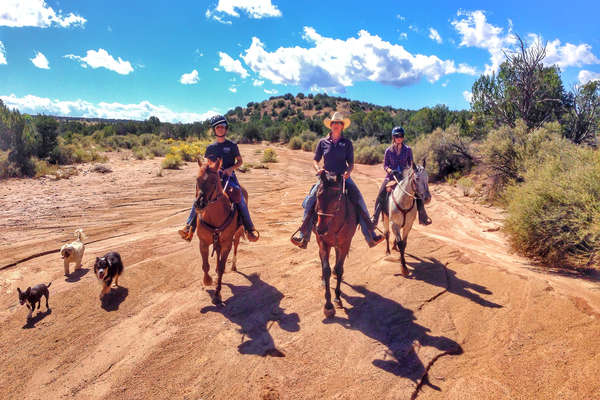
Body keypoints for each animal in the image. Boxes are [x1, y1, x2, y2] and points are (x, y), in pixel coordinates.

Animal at [196, 158, 245, 304]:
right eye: (197, 179)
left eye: (213, 181)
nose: (199, 204)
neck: (214, 216)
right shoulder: (203, 242)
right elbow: (205, 265)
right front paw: (207, 280)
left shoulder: (227, 244)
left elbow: (223, 268)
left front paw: (217, 295)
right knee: (217, 252)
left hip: (237, 234)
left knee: (236, 246)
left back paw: (233, 266)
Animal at [314, 170, 356, 318]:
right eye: (318, 196)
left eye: (336, 198)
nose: (320, 229)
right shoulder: (323, 242)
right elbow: (326, 269)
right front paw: (328, 306)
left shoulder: (345, 244)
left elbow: (339, 269)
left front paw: (337, 298)